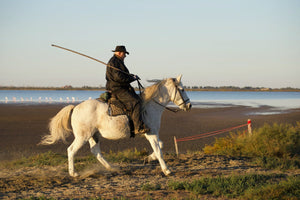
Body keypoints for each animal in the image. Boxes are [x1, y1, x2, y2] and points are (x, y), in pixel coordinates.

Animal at [39, 75, 191, 177]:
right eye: (182, 89)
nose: (189, 105)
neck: (150, 105)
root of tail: (75, 107)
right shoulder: (151, 133)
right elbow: (159, 150)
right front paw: (167, 170)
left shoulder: (150, 134)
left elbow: (161, 145)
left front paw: (148, 158)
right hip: (83, 136)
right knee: (71, 150)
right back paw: (74, 173)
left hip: (94, 135)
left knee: (96, 151)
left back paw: (111, 167)